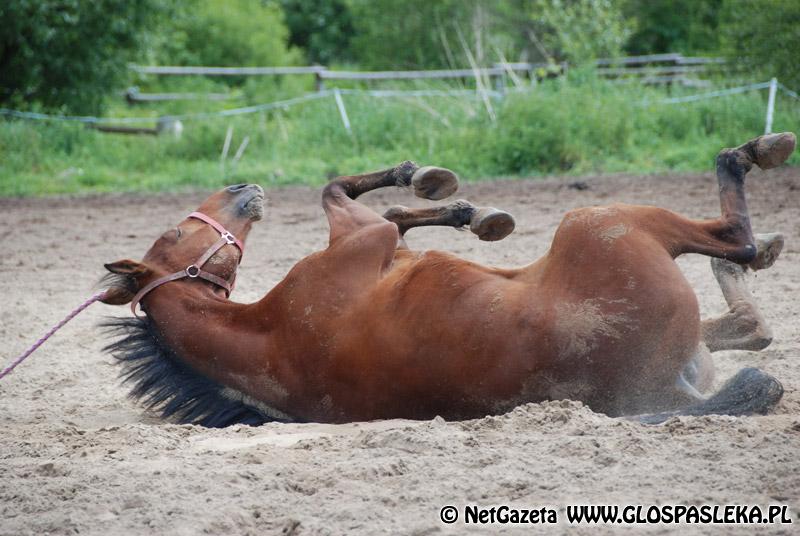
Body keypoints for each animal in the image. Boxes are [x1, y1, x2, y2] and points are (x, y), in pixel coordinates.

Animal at [101, 132, 792, 426]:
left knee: (750, 322)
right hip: (602, 220)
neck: (266, 335)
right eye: (175, 234)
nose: (242, 187)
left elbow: (387, 208)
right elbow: (343, 195)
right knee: (737, 242)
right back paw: (757, 161)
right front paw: (445, 193)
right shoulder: (363, 242)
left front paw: (464, 207)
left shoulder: (381, 246)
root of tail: (660, 391)